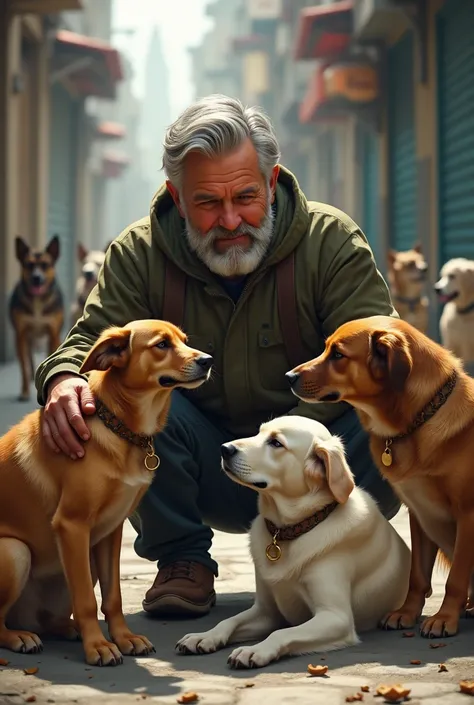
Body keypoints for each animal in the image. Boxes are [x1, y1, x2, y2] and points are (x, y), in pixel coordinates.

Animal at [0, 316, 212, 664]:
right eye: (162, 345)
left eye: (184, 340)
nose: (208, 361)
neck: (118, 426)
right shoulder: (72, 525)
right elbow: (87, 599)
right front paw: (98, 646)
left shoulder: (110, 531)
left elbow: (113, 597)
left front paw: (124, 638)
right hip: (16, 552)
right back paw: (20, 637)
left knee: (50, 619)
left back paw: (66, 629)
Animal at [9, 236, 64, 402]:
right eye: (29, 264)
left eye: (45, 265)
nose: (36, 278)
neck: (38, 301)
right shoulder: (20, 335)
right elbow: (23, 368)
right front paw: (24, 391)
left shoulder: (53, 333)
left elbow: (51, 356)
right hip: (28, 338)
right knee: (28, 358)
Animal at [176, 416, 410, 668]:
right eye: (258, 432)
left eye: (276, 443)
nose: (224, 449)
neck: (289, 531)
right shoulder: (266, 611)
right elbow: (229, 621)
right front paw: (205, 636)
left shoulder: (336, 617)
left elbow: (281, 632)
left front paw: (254, 650)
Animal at [286, 314, 474, 640]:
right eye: (326, 348)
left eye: (338, 355)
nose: (288, 377)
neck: (419, 421)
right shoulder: (420, 514)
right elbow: (417, 575)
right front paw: (407, 614)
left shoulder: (468, 514)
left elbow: (456, 578)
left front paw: (445, 617)